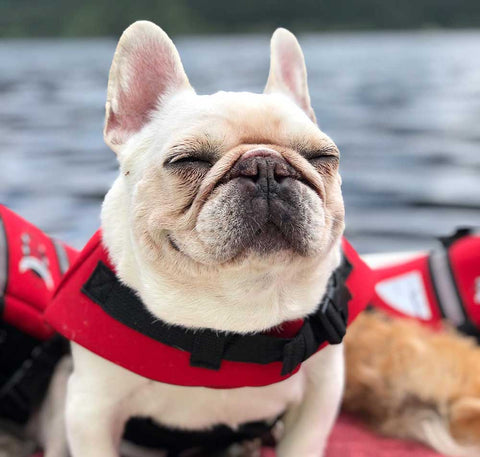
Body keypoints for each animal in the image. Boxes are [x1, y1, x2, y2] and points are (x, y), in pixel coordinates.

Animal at [62, 20, 344, 456]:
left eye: (322, 157)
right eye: (188, 160)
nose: (266, 167)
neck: (238, 301)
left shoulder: (322, 390)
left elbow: (303, 441)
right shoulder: (89, 409)